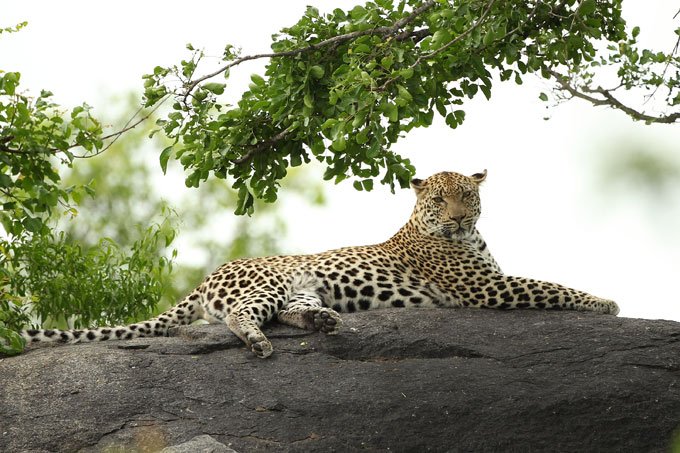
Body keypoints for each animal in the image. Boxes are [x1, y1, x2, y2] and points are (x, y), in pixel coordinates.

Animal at [21, 170, 620, 356]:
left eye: (467, 198)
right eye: (439, 200)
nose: (455, 219)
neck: (468, 238)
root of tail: (210, 274)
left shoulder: (490, 280)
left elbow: (543, 281)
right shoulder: (486, 289)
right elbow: (548, 285)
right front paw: (604, 302)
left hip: (303, 287)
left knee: (290, 312)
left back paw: (325, 321)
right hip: (264, 285)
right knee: (241, 317)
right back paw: (259, 342)